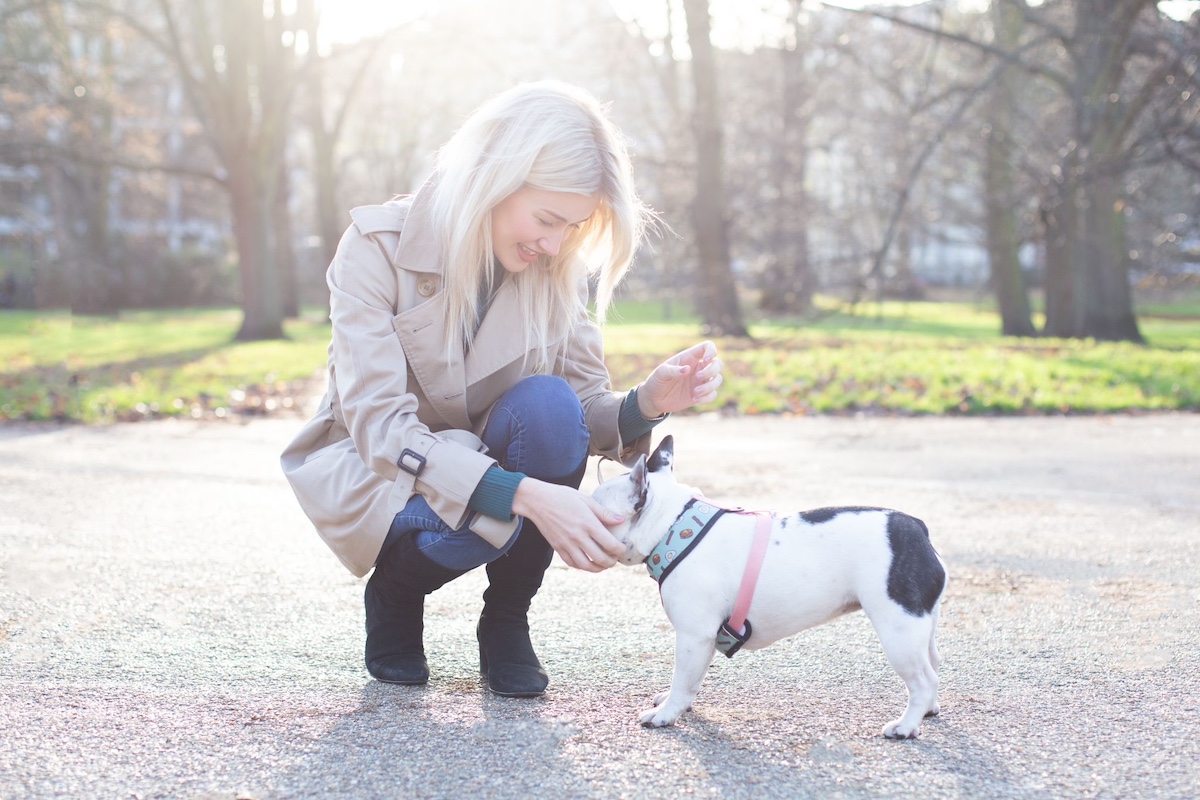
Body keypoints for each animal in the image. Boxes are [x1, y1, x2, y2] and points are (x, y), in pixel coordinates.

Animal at [590, 438, 945, 738]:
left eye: (596, 506)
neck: (673, 526)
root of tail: (919, 528)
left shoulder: (694, 635)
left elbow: (683, 677)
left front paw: (666, 713)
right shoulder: (705, 638)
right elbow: (693, 678)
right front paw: (679, 703)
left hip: (898, 630)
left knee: (923, 679)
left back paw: (905, 726)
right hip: (919, 625)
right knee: (933, 665)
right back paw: (926, 712)